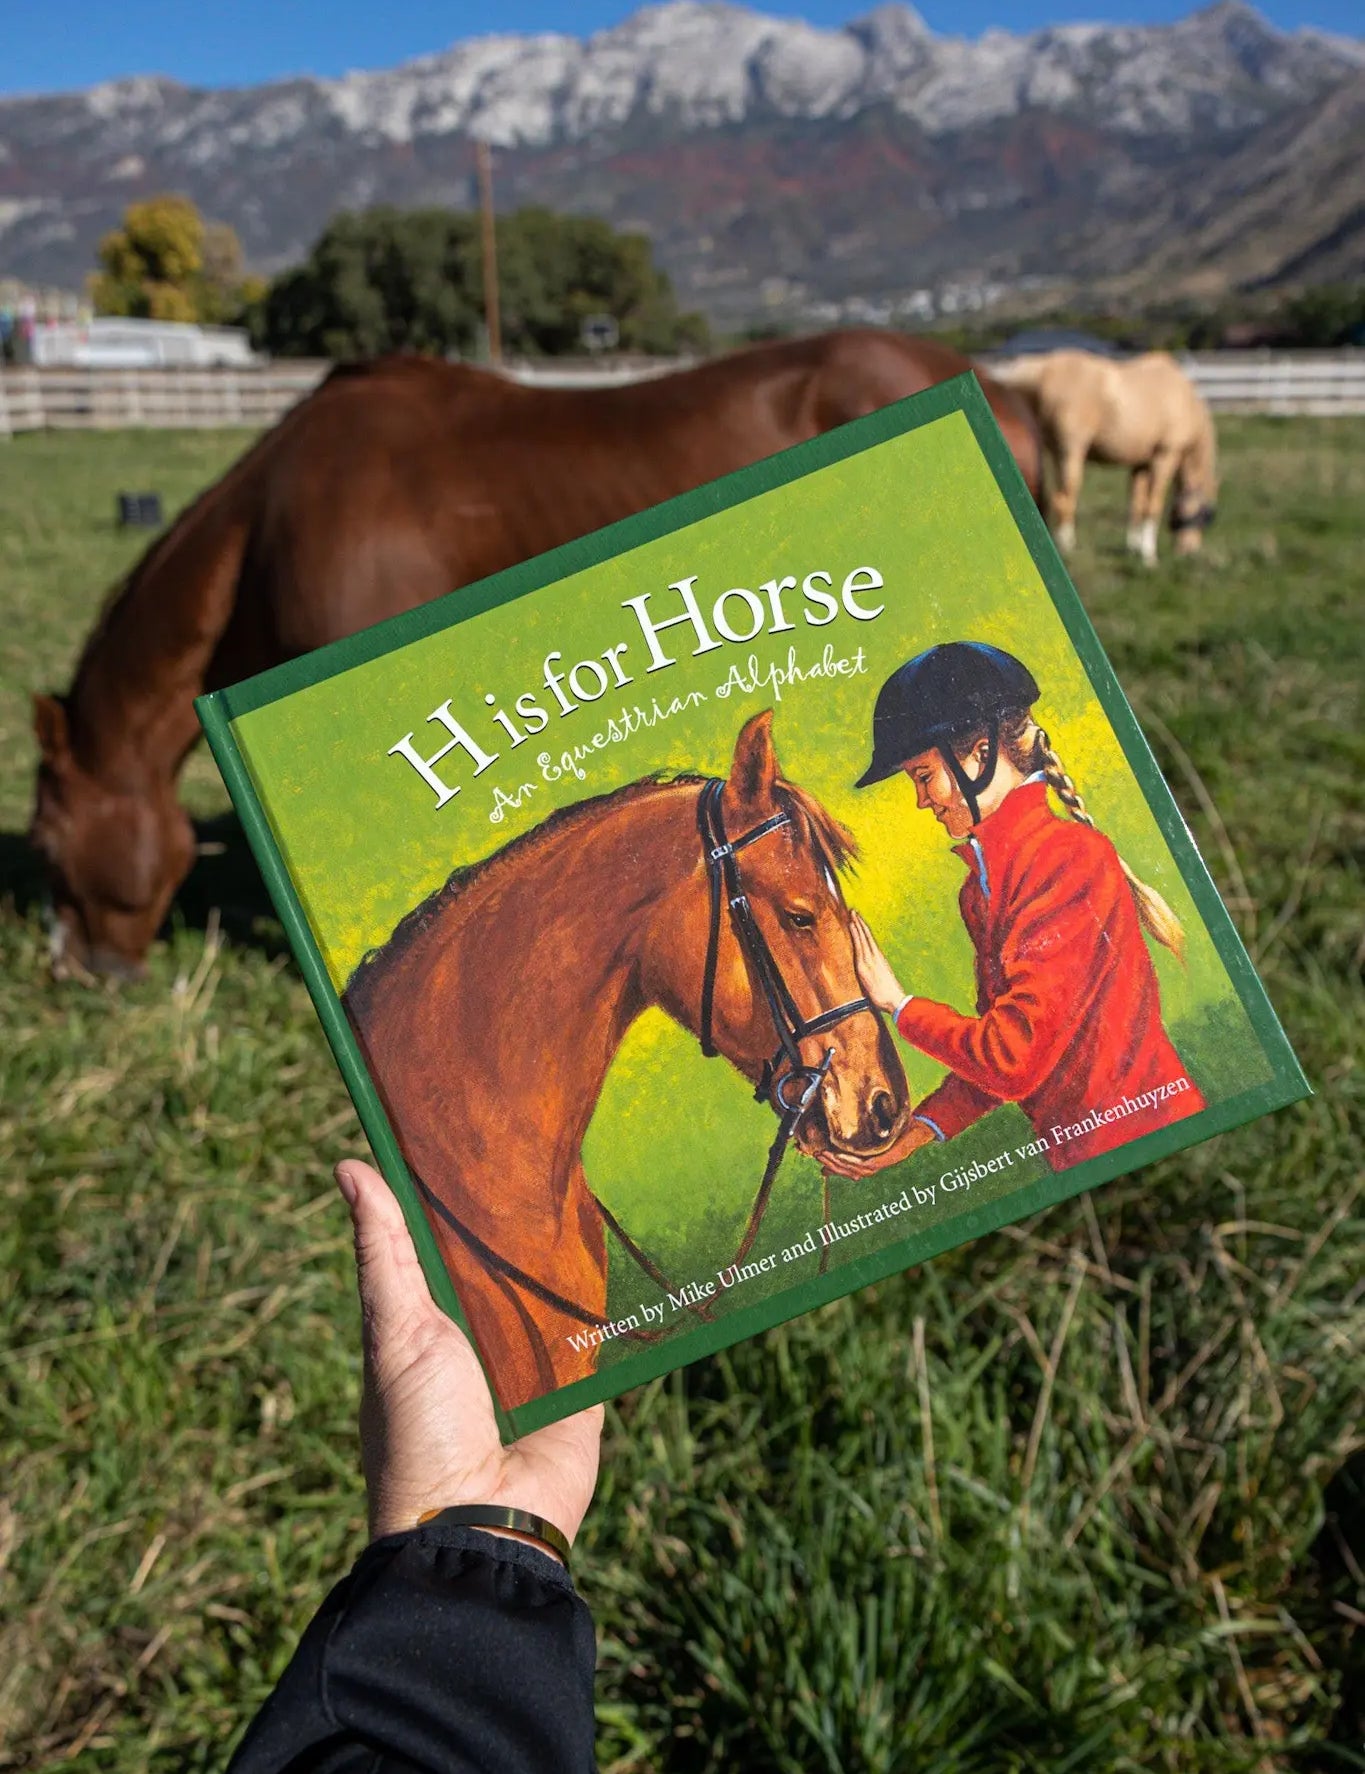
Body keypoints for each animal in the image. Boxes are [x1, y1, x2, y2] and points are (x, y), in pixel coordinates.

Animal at [988, 350, 1218, 565]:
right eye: (1202, 516)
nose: (1189, 551)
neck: (1184, 398)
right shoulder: (1165, 456)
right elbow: (1153, 505)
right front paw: (1148, 555)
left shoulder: (1141, 464)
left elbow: (1136, 504)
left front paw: (1133, 547)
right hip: (1070, 451)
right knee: (1064, 497)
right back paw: (1066, 544)